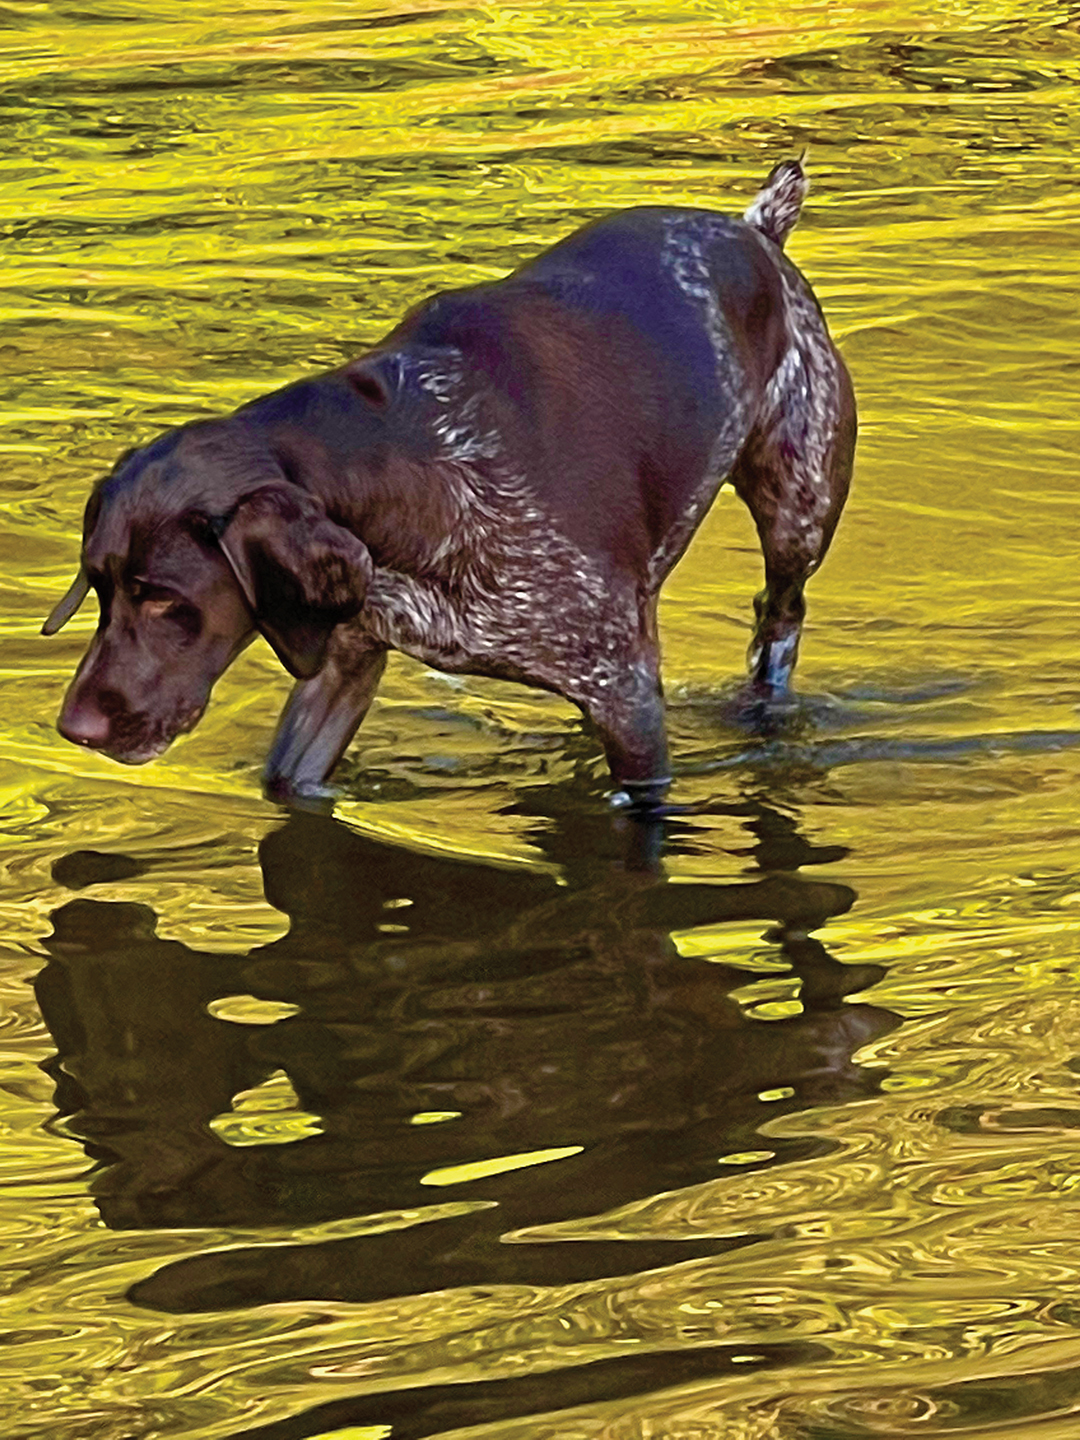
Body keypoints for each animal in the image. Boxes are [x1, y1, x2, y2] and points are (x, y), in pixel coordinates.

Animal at [42, 163, 852, 812]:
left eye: (162, 598)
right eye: (100, 587)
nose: (72, 729)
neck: (404, 469)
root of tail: (755, 229)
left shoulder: (626, 700)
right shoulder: (341, 670)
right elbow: (288, 779)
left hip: (798, 514)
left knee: (779, 617)